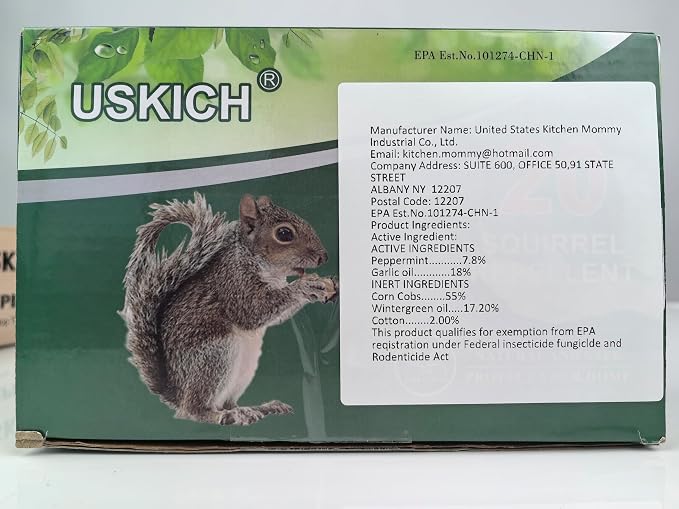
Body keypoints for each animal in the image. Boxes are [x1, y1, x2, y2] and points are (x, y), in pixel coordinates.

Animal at [120, 193, 337, 426]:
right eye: (284, 233)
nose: (324, 257)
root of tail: (176, 391)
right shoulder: (233, 282)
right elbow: (254, 310)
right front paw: (305, 287)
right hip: (215, 355)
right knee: (190, 410)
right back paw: (219, 415)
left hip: (245, 367)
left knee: (227, 402)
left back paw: (256, 409)